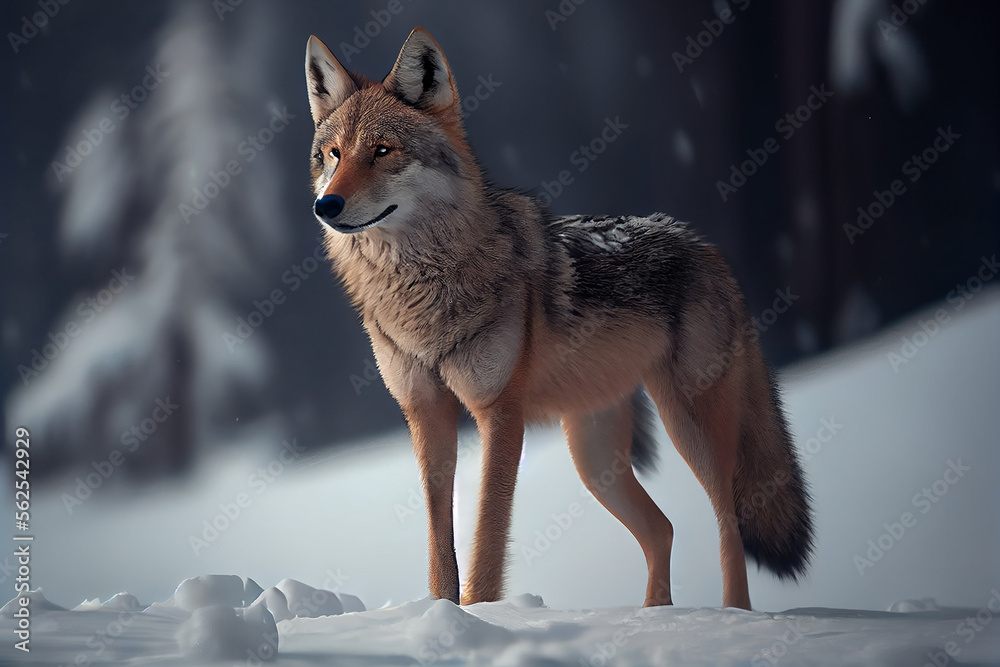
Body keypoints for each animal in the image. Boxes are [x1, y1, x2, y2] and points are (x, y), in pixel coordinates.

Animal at [305, 27, 813, 610]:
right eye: (333, 154)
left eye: (382, 151)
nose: (326, 205)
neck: (419, 291)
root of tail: (707, 248)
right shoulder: (425, 414)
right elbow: (439, 548)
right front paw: (441, 613)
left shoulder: (501, 413)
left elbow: (486, 539)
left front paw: (482, 615)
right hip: (593, 457)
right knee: (662, 529)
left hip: (690, 424)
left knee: (727, 522)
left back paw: (730, 617)